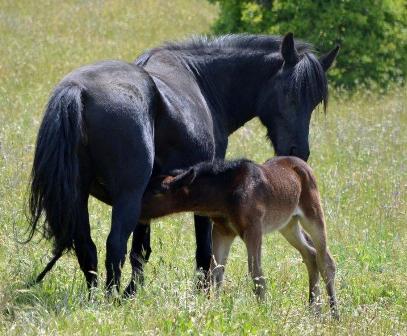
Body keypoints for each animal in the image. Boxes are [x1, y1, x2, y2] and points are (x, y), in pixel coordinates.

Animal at [27, 32, 338, 296]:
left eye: (314, 102)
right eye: (290, 93)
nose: (299, 152)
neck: (203, 82)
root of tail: (78, 91)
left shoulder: (149, 200)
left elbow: (141, 249)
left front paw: (133, 292)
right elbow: (204, 250)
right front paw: (202, 292)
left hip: (80, 197)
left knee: (88, 248)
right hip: (126, 197)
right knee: (114, 245)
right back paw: (110, 299)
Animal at [142, 156, 340, 318]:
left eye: (156, 192)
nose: (138, 212)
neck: (222, 196)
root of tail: (305, 166)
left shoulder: (253, 229)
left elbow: (256, 273)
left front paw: (263, 313)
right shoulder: (223, 231)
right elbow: (216, 272)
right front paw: (213, 308)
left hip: (313, 215)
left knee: (325, 261)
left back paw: (334, 313)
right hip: (288, 224)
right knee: (310, 254)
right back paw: (314, 310)